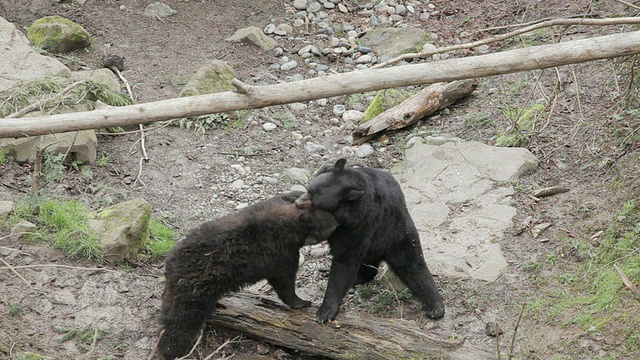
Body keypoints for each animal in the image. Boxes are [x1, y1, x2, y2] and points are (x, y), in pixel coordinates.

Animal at [159, 190, 340, 358]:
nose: (337, 223)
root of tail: (170, 265)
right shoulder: (280, 255)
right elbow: (284, 283)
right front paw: (302, 302)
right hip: (195, 291)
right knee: (181, 320)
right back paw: (170, 349)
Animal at [296, 159, 444, 322]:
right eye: (309, 190)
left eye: (314, 201)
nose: (298, 202)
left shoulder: (360, 223)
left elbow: (344, 261)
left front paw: (325, 311)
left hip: (398, 234)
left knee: (413, 266)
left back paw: (436, 307)